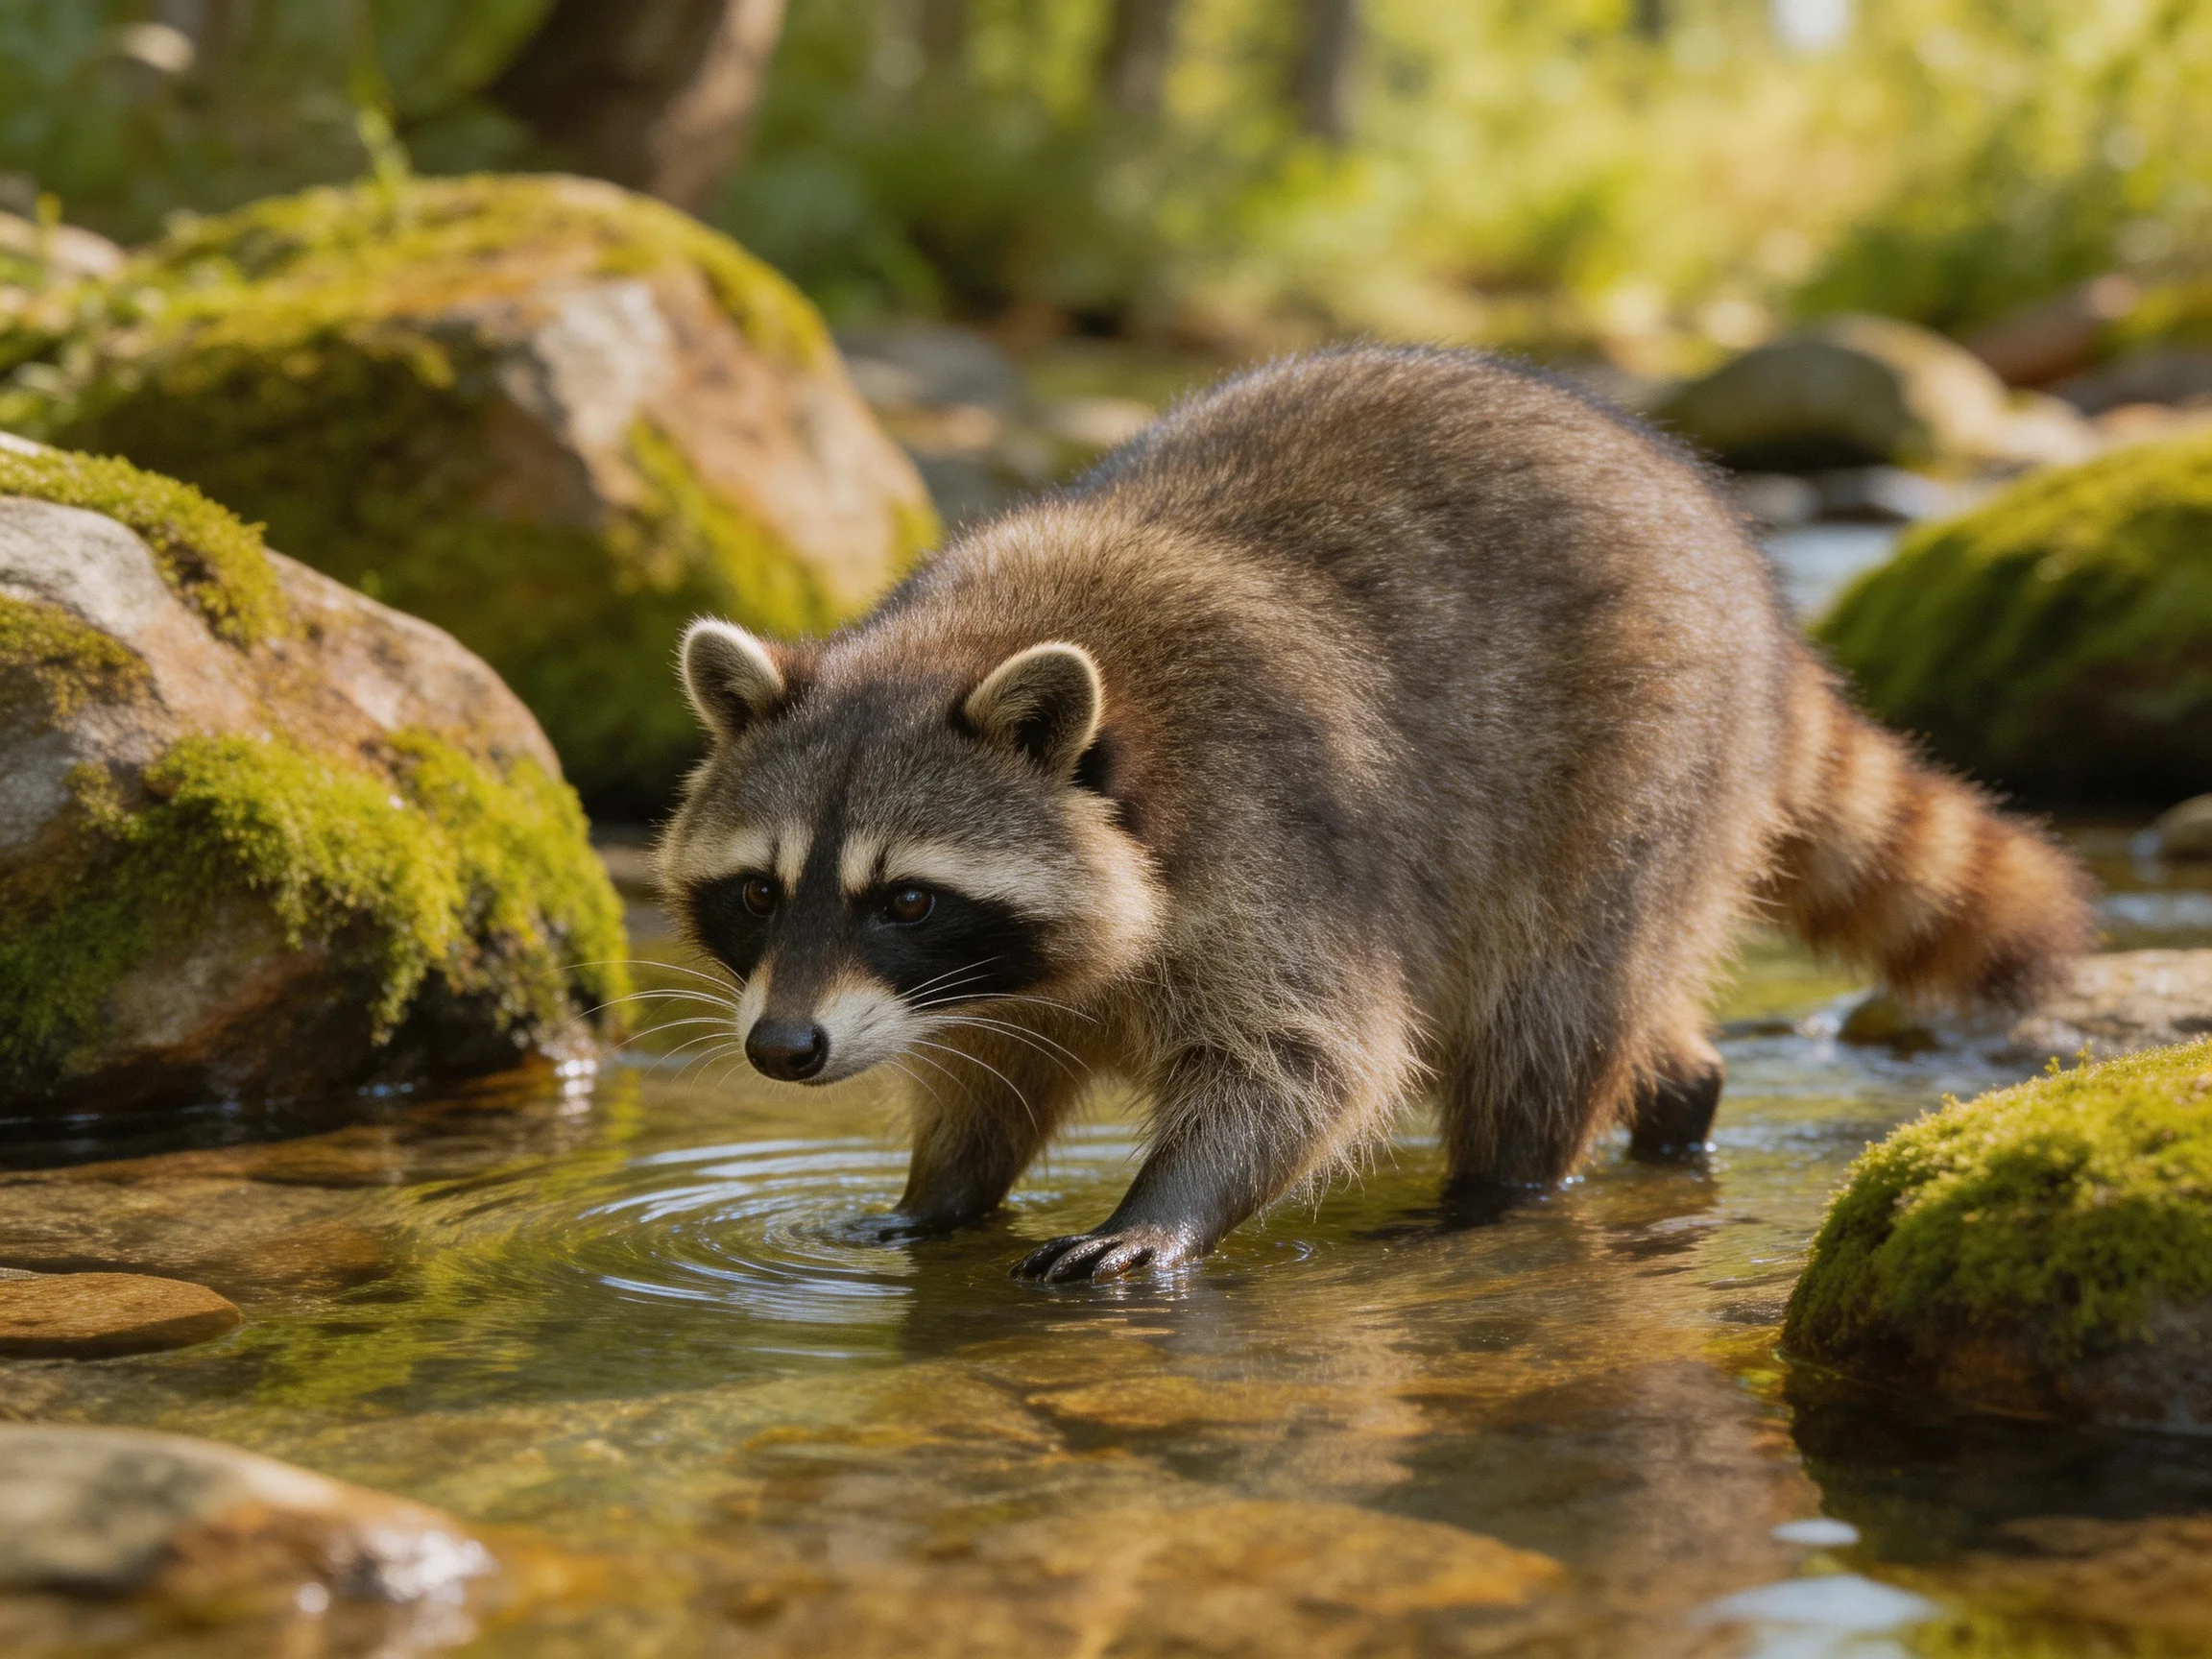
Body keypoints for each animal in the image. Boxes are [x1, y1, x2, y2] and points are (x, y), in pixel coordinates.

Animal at [656, 346, 2094, 1282]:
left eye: (906, 897)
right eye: (759, 892)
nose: (782, 1050)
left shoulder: (1270, 844)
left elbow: (1310, 1057)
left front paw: (1170, 1205)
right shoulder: (978, 988)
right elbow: (989, 1073)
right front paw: (943, 1191)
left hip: (1632, 779)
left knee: (1546, 1014)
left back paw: (1505, 1191)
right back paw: (1679, 1092)